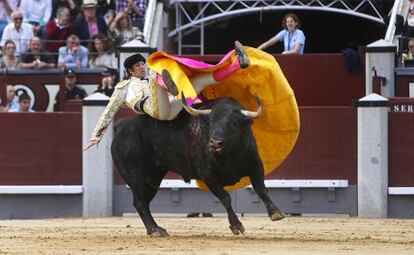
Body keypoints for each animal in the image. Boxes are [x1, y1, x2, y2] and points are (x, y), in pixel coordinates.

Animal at [110, 96, 284, 236]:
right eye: (211, 122)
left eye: (234, 123)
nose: (215, 143)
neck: (229, 155)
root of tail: (121, 125)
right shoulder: (208, 175)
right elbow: (225, 197)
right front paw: (236, 225)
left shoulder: (255, 165)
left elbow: (261, 189)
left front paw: (276, 213)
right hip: (136, 177)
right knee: (140, 203)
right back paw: (155, 230)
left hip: (152, 178)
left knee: (143, 202)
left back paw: (155, 229)